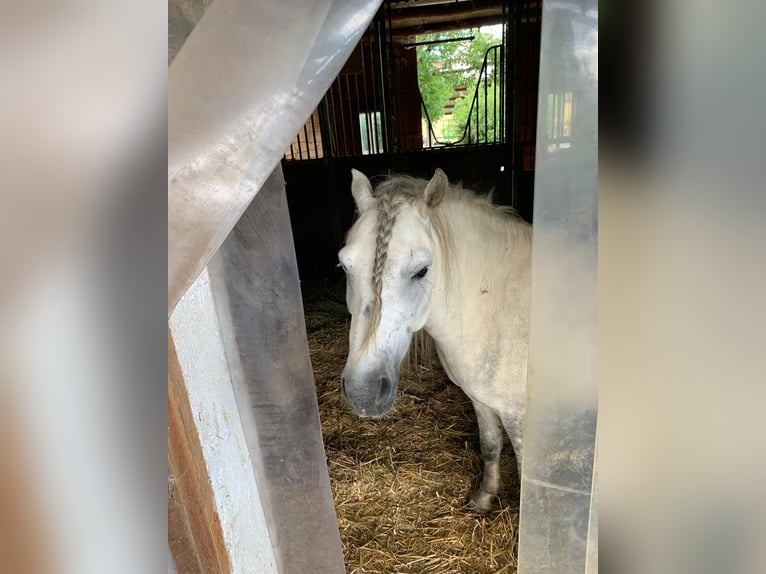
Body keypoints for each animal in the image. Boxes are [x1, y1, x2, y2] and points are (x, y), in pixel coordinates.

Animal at [338, 168, 531, 512]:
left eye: (422, 270)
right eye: (345, 265)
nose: (364, 392)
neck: (498, 302)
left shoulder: (519, 414)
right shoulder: (481, 400)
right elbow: (490, 445)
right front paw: (484, 498)